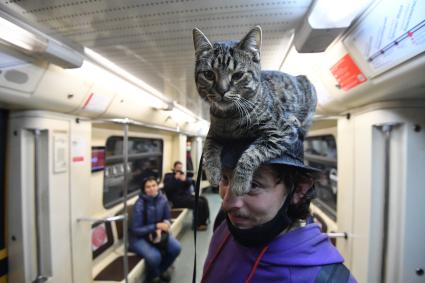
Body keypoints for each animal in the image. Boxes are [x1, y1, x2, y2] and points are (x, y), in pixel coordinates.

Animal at [192, 26, 314, 195]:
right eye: (209, 74)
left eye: (237, 75)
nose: (222, 90)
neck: (230, 117)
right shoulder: (213, 132)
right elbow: (209, 148)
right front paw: (213, 173)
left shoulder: (281, 131)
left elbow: (252, 154)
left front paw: (240, 182)